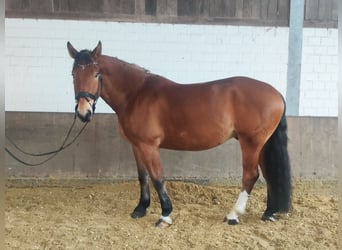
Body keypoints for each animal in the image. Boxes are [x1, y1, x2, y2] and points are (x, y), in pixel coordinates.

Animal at [67, 41, 292, 229]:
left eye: (96, 74)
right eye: (73, 75)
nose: (83, 112)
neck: (136, 94)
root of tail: (276, 93)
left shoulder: (149, 146)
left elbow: (158, 178)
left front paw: (165, 214)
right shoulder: (137, 145)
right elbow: (143, 176)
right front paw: (141, 208)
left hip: (251, 143)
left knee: (251, 175)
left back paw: (233, 215)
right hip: (261, 144)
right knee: (268, 175)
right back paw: (269, 212)